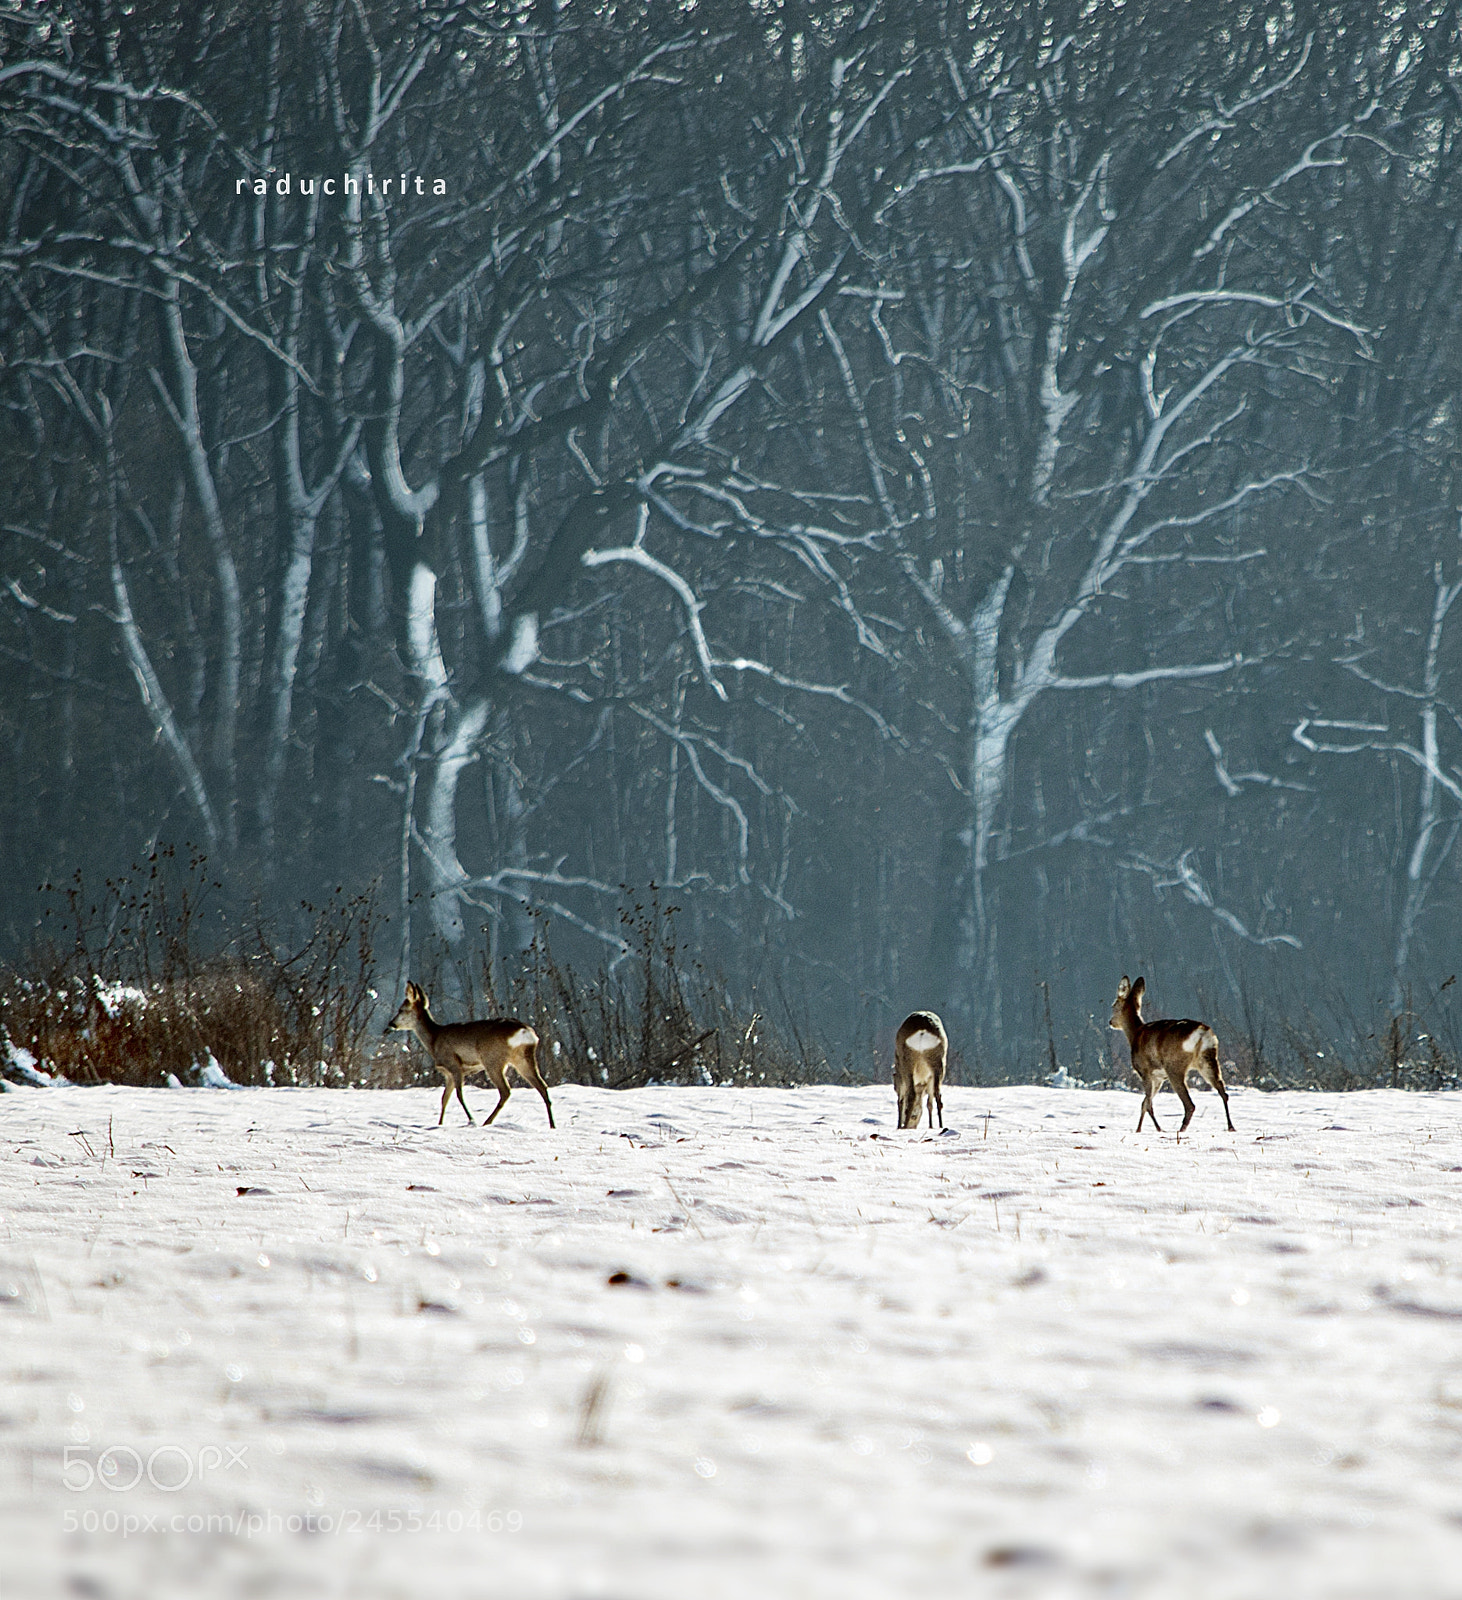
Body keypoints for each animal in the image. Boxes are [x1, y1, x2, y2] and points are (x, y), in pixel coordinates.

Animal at [384, 981, 555, 1129]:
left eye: (401, 1009)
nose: (390, 1025)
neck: (434, 1039)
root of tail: (525, 1032)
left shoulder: (454, 1065)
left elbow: (459, 1095)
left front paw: (471, 1120)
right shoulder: (448, 1074)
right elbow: (444, 1099)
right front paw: (440, 1124)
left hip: (493, 1060)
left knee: (506, 1091)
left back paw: (486, 1122)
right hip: (523, 1058)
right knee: (542, 1086)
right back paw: (552, 1125)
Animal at [1109, 975, 1235, 1134]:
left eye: (1114, 1005)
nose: (1111, 1022)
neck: (1135, 1034)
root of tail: (1202, 1032)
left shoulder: (1145, 1071)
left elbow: (1147, 1103)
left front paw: (1156, 1129)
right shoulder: (1159, 1077)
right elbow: (1144, 1103)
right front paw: (1140, 1129)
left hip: (1175, 1065)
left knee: (1190, 1104)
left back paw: (1181, 1130)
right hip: (1208, 1059)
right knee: (1223, 1092)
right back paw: (1231, 1127)